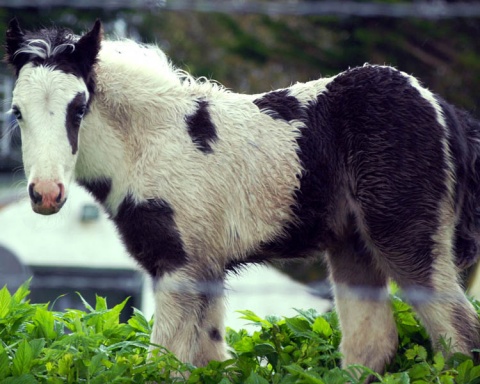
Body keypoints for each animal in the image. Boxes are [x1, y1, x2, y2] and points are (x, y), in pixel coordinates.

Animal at [3, 19, 480, 376]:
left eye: (79, 108)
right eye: (16, 112)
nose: (46, 194)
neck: (149, 144)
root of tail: (445, 109)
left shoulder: (178, 267)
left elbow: (164, 363)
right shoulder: (206, 271)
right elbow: (210, 361)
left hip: (405, 236)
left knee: (459, 338)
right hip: (352, 245)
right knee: (371, 346)